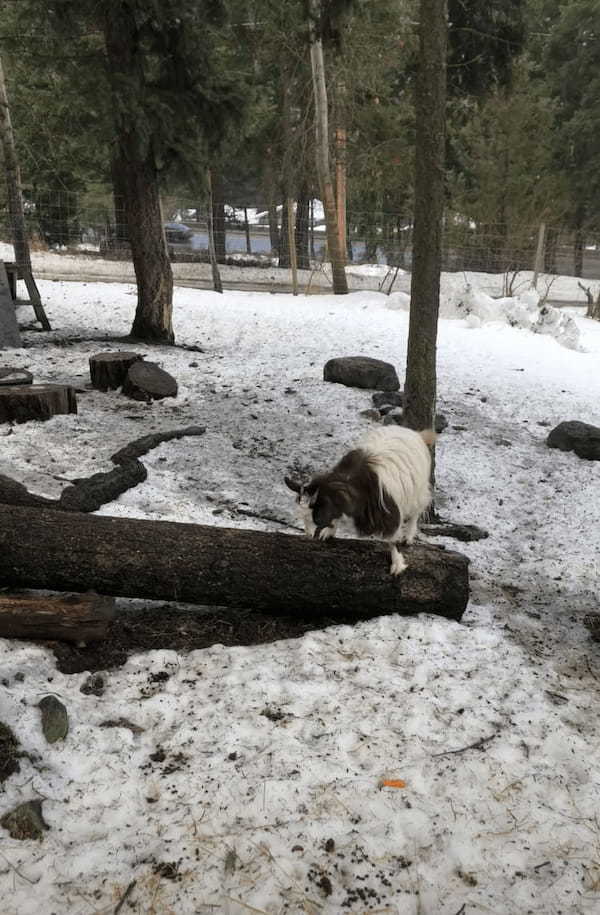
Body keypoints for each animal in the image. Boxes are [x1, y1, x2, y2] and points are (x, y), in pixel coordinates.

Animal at [286, 424, 436, 572]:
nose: (309, 536)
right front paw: (328, 532)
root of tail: (416, 433)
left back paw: (408, 537)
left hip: (419, 490)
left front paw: (397, 564)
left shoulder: (389, 514)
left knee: (417, 510)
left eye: (318, 517)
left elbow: (392, 539)